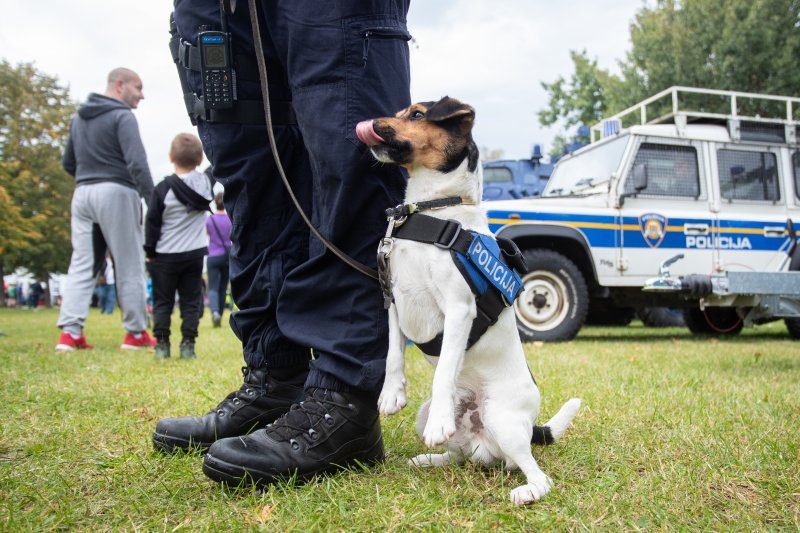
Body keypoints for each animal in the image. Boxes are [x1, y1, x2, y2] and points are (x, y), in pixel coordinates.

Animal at [356, 96, 580, 508]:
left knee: (536, 473)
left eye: (417, 114)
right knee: (462, 456)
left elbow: (444, 369)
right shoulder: (392, 300)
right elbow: (393, 354)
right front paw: (391, 394)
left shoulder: (459, 310)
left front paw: (440, 419)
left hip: (503, 422)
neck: (434, 210)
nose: (370, 123)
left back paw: (526, 490)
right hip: (433, 418)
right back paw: (430, 457)